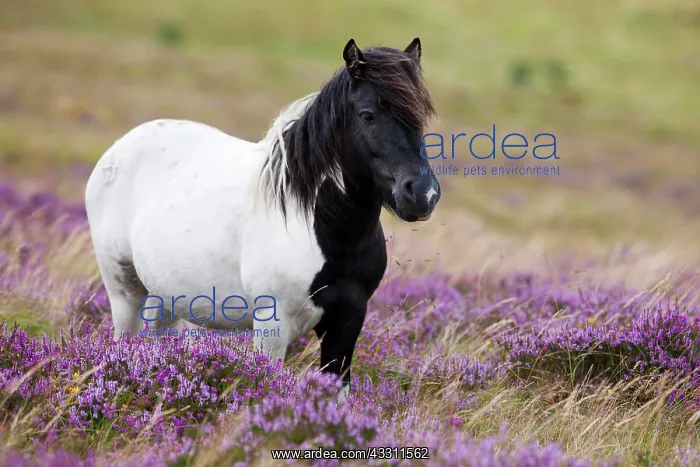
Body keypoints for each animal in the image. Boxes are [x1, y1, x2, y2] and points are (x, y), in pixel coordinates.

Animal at [84, 37, 441, 402]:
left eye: (420, 117)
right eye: (368, 116)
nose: (422, 194)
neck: (321, 228)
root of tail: (119, 147)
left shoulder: (348, 320)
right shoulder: (273, 323)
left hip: (165, 297)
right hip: (125, 293)